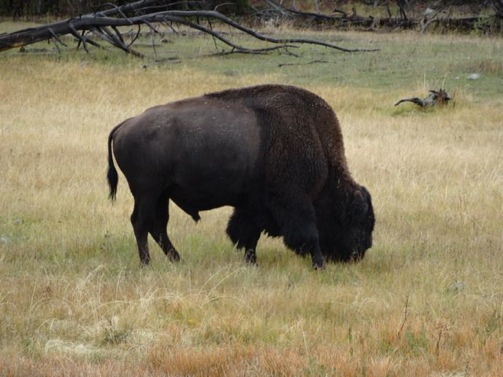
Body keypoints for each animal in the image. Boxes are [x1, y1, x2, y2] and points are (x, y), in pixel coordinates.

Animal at [106, 84, 374, 268]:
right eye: (359, 220)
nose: (361, 251)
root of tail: (125, 125)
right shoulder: (294, 199)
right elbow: (309, 232)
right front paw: (319, 264)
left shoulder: (253, 204)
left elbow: (248, 233)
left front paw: (251, 262)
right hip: (147, 192)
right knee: (141, 223)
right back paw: (147, 263)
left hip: (162, 194)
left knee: (157, 225)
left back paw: (177, 260)